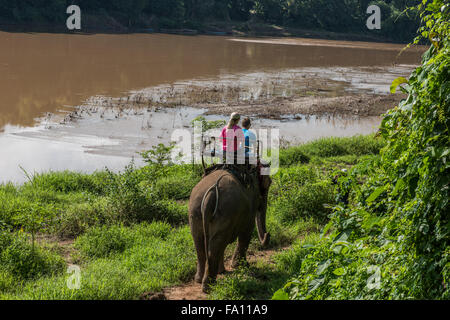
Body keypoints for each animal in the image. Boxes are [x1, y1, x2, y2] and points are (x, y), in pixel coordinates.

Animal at [187, 166, 270, 294]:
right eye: (269, 183)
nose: (268, 235)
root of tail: (211, 192)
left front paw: (223, 271)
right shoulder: (250, 206)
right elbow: (247, 232)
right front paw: (242, 266)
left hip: (195, 211)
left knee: (200, 243)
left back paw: (199, 280)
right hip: (227, 211)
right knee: (215, 245)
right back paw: (208, 286)